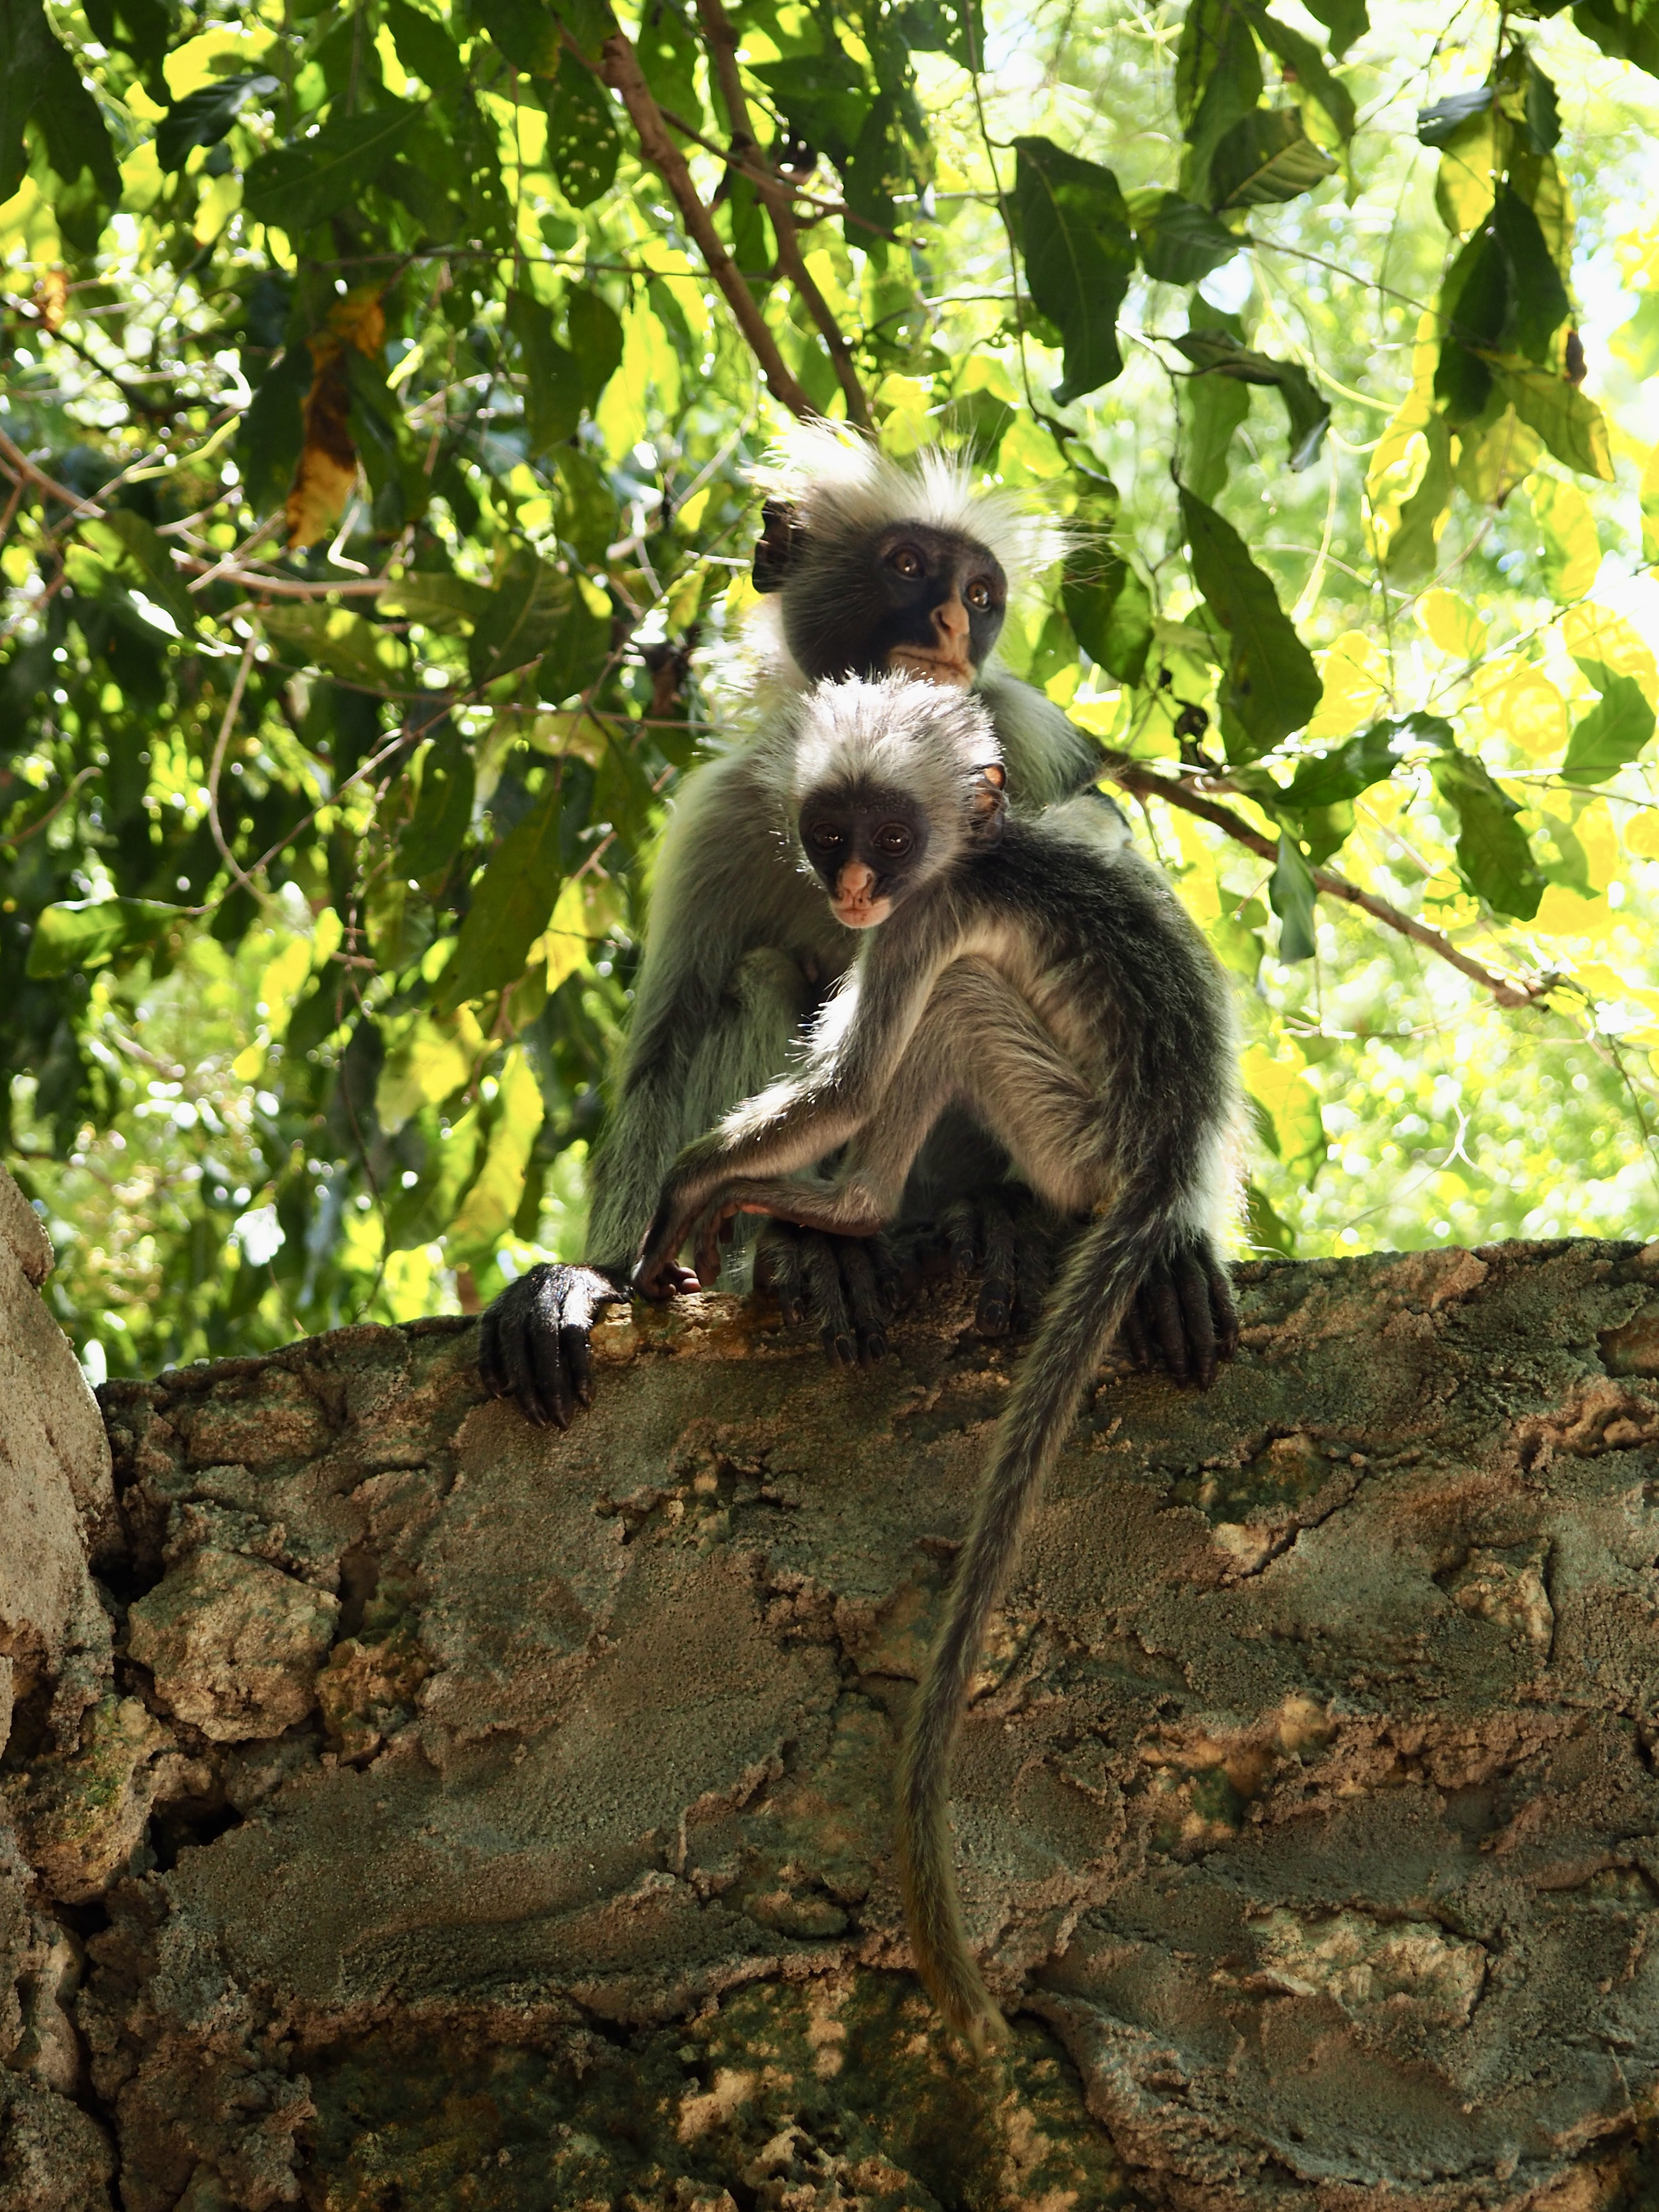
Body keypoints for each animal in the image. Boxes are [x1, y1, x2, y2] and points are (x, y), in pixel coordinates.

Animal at [480, 429, 1212, 1424]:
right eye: (908, 566)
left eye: (979, 595)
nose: (950, 625)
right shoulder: (722, 813)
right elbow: (664, 1046)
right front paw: (588, 1277)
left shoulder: (1024, 737)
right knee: (756, 977)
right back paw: (814, 1248)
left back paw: (991, 1215)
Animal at [641, 677, 1238, 2053]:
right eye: (830, 834)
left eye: (891, 839)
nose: (855, 884)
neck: (980, 853)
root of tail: (1161, 1164)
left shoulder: (930, 919)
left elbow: (853, 1083)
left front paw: (702, 1180)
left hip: (1068, 1136)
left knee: (953, 1016)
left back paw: (846, 1212)